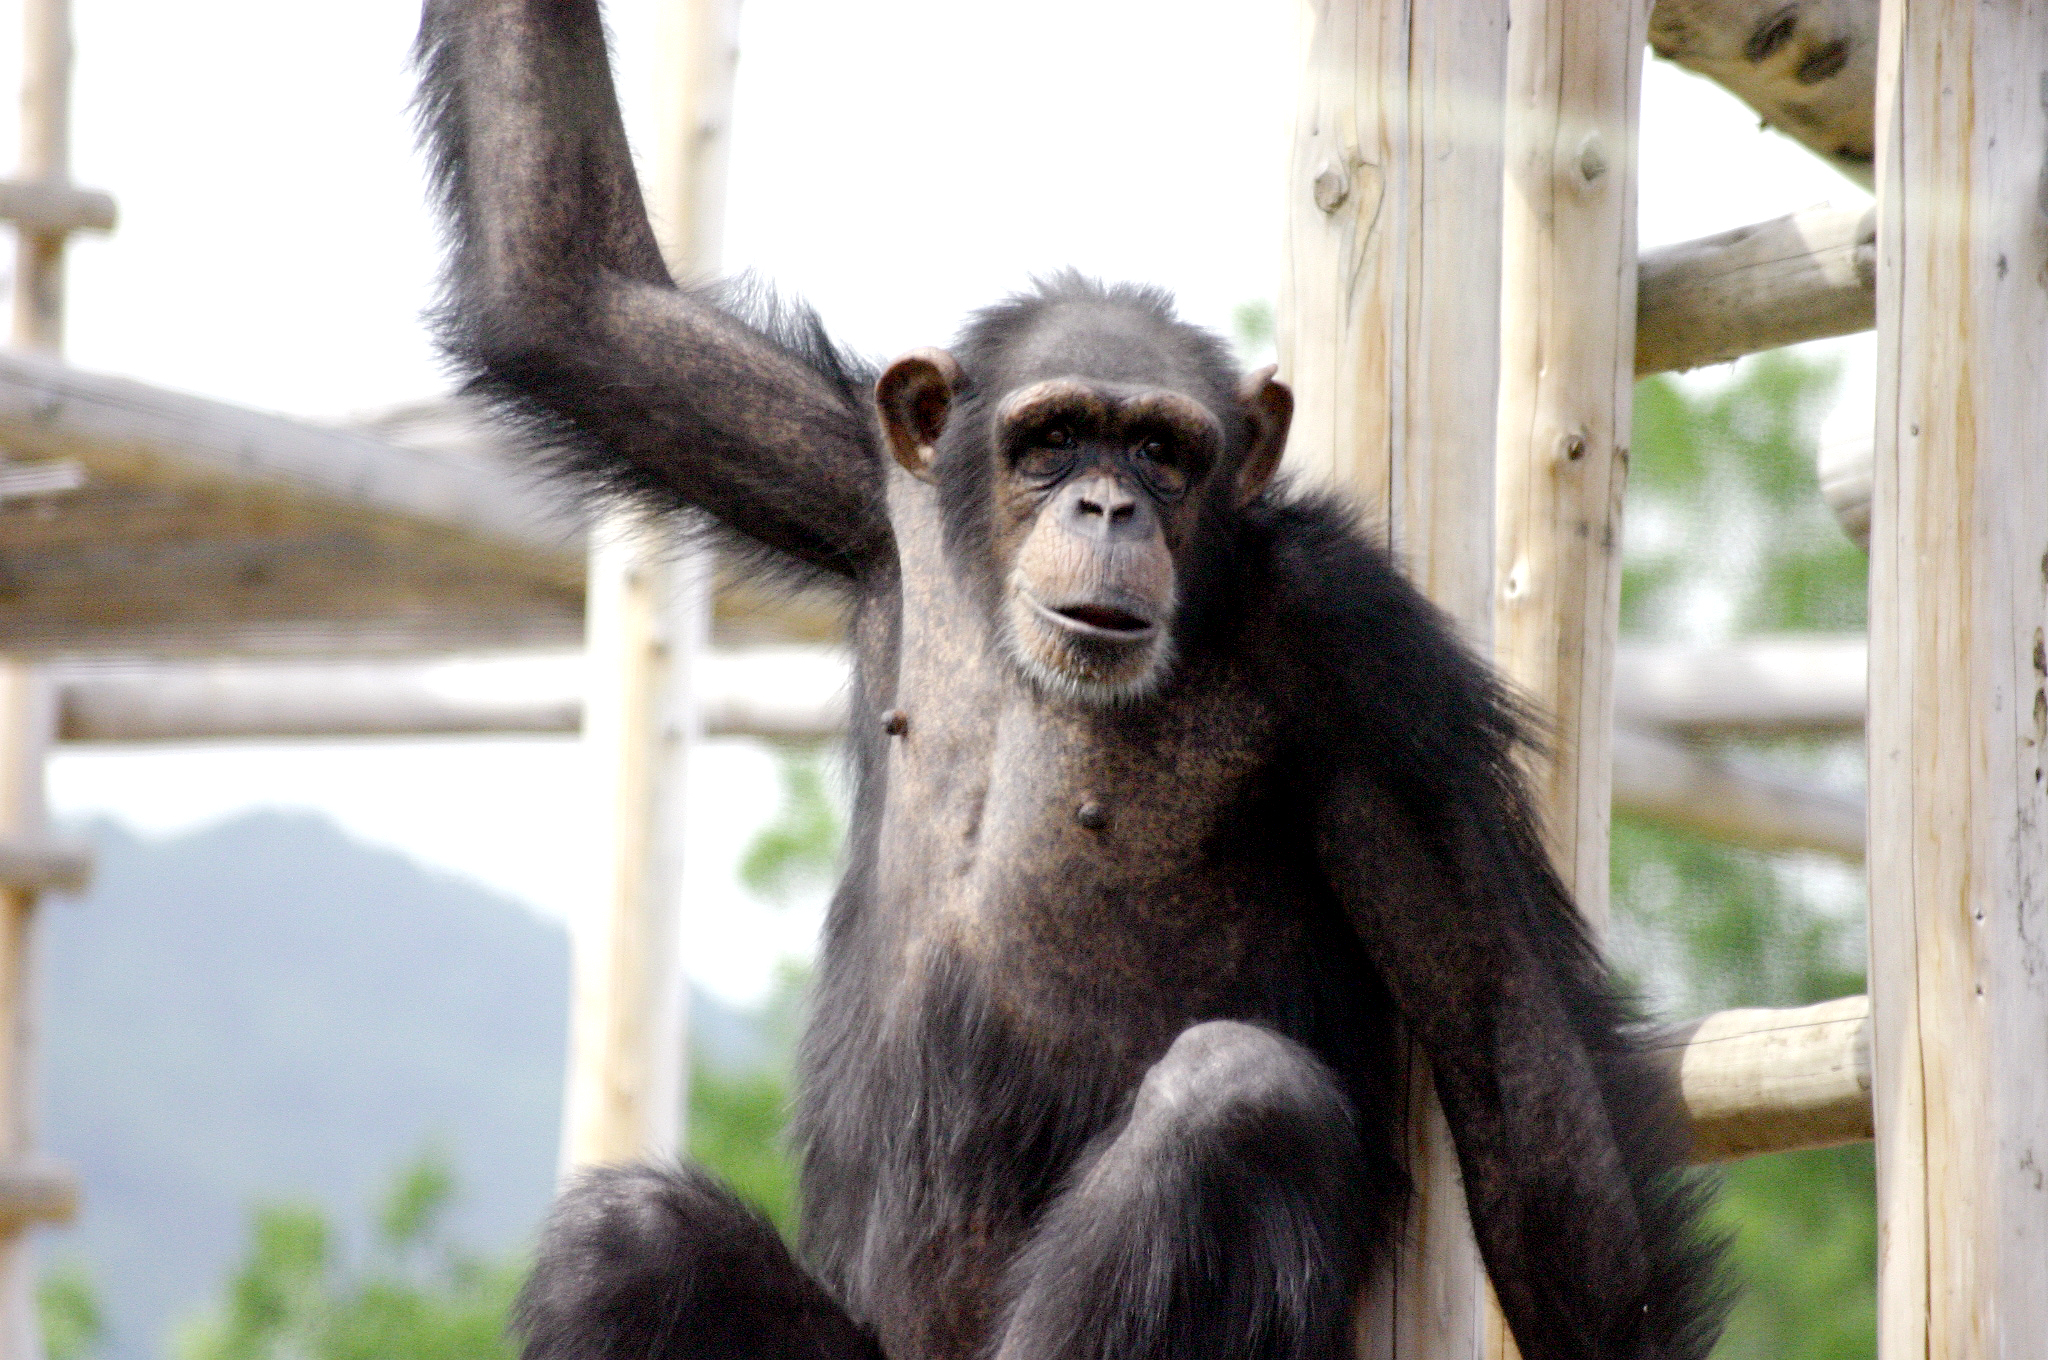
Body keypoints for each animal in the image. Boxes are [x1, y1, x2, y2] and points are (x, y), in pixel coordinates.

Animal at [415, 2, 1728, 1360]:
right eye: (1052, 439)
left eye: (1158, 447)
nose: (1106, 504)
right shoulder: (852, 476)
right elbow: (575, 294)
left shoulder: (1369, 658)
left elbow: (1512, 1052)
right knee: (622, 1241)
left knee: (1238, 1101)